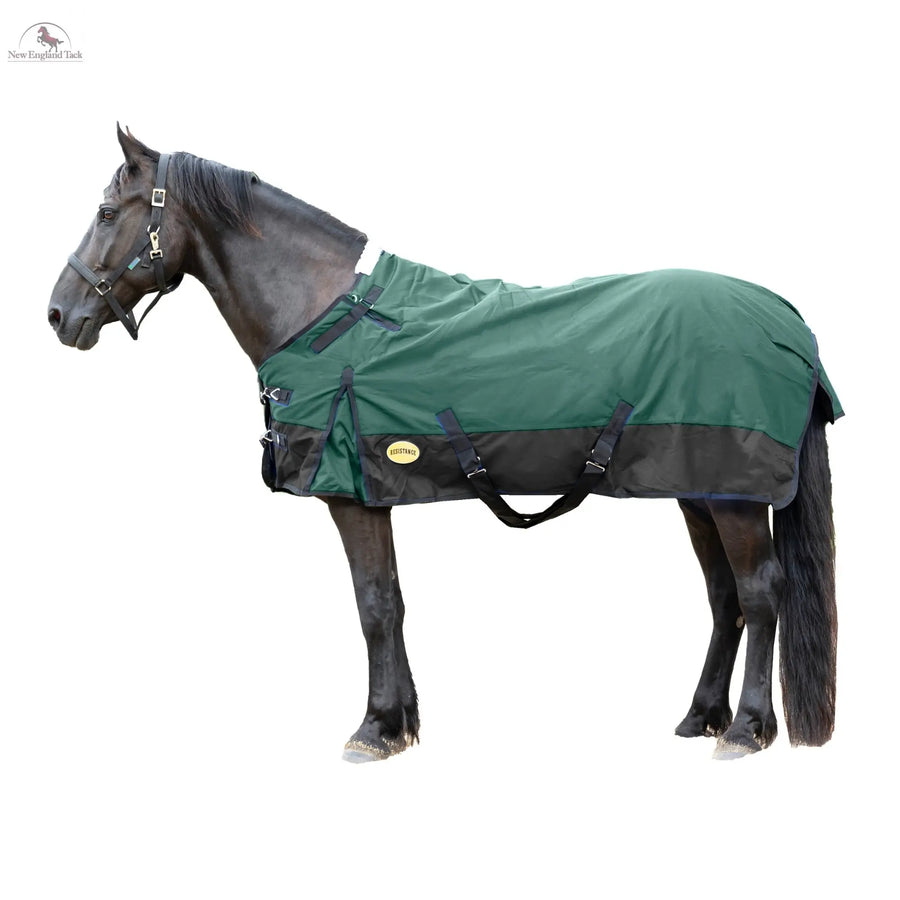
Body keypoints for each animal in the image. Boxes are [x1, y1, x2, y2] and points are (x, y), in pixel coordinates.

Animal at [48, 126, 840, 762]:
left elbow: (371, 604)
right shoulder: (373, 493)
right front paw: (401, 724)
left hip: (735, 497)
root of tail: (785, 316)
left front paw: (372, 730)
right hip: (699, 489)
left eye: (107, 212)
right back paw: (700, 716)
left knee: (760, 593)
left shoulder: (349, 496)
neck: (322, 314)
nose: (58, 313)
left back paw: (746, 729)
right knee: (723, 596)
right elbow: (393, 601)